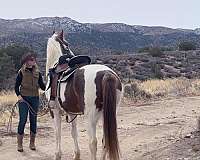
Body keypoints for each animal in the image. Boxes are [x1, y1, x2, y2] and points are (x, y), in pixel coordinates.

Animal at [45, 30, 122, 160]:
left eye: (67, 44)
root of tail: (107, 73)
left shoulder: (55, 111)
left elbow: (57, 133)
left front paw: (58, 154)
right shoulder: (71, 113)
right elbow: (74, 133)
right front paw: (77, 154)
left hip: (90, 116)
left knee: (93, 142)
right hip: (109, 112)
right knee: (105, 139)